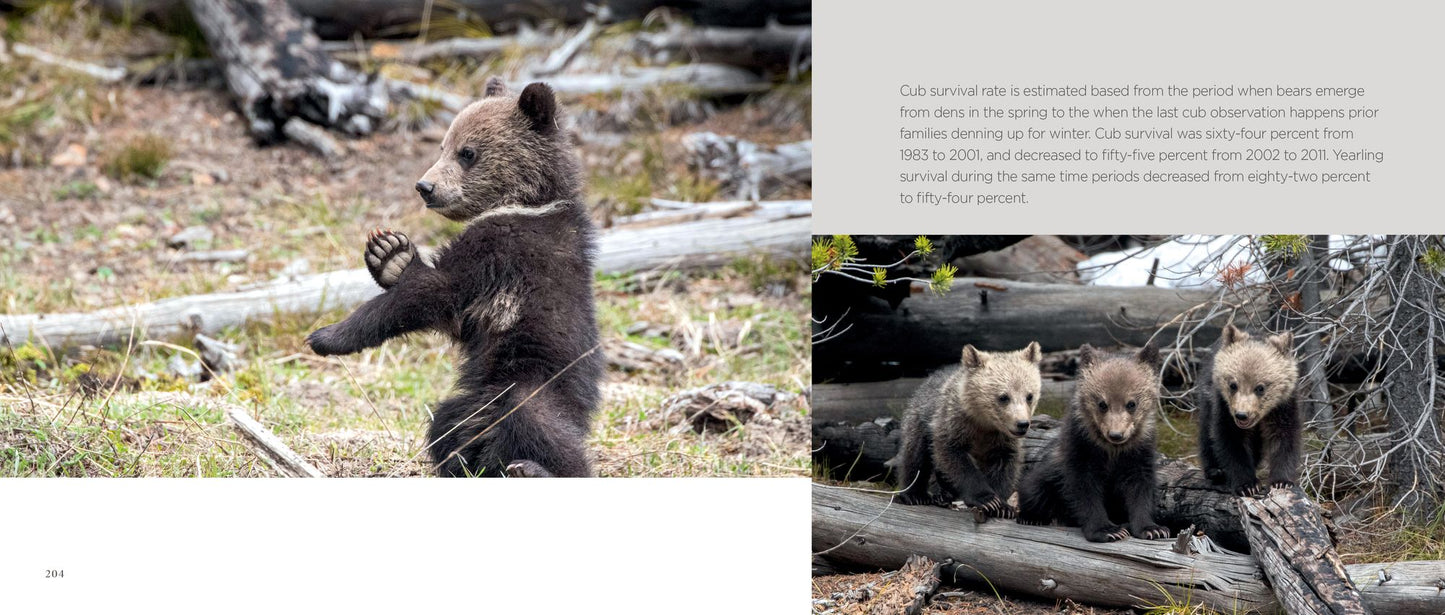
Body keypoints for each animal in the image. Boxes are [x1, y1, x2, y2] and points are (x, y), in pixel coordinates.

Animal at [307, 77, 604, 478]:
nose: (425, 187)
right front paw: (389, 253)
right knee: (446, 423)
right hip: (475, 401)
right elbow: (450, 315)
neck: (528, 200)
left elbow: (432, 292)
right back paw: (468, 461)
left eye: (467, 152)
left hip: (536, 378)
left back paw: (532, 468)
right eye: (442, 146)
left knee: (539, 423)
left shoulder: (503, 254)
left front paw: (327, 336)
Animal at [894, 342, 1042, 518]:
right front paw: (987, 499)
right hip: (921, 418)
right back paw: (915, 495)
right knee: (915, 455)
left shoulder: (1002, 440)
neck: (984, 422)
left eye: (1029, 396)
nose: (1022, 424)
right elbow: (953, 457)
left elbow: (1005, 466)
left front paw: (1003, 507)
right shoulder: (953, 423)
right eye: (1003, 397)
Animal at [1017, 344, 1171, 542]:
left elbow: (1140, 487)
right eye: (1102, 403)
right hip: (1046, 476)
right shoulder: (1081, 448)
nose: (1116, 434)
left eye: (1132, 403)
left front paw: (1153, 529)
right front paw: (1108, 530)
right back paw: (1031, 517)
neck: (1111, 450)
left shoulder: (1138, 451)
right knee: (1034, 489)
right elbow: (1084, 489)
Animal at [1196, 323, 1301, 496]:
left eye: (1260, 387)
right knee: (1206, 432)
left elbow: (1285, 437)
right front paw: (1247, 485)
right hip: (1207, 396)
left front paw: (1281, 481)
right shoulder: (1223, 405)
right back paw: (1215, 471)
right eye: (1233, 384)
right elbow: (1230, 439)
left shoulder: (1283, 405)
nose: (1242, 415)